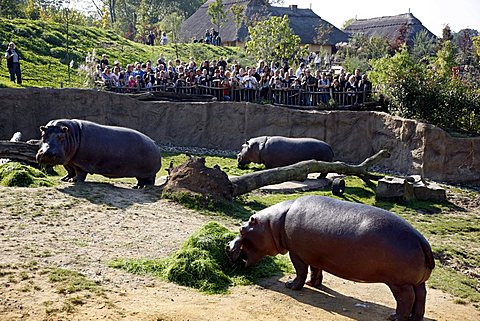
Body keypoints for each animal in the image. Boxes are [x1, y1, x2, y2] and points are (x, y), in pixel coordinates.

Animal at [227, 195, 434, 320]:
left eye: (242, 229)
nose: (228, 248)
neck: (273, 224)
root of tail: (421, 239)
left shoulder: (297, 254)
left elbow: (300, 271)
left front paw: (291, 285)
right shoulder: (314, 255)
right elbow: (315, 270)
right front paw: (313, 284)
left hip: (399, 283)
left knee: (406, 299)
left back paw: (395, 317)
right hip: (417, 281)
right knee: (421, 296)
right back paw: (415, 318)